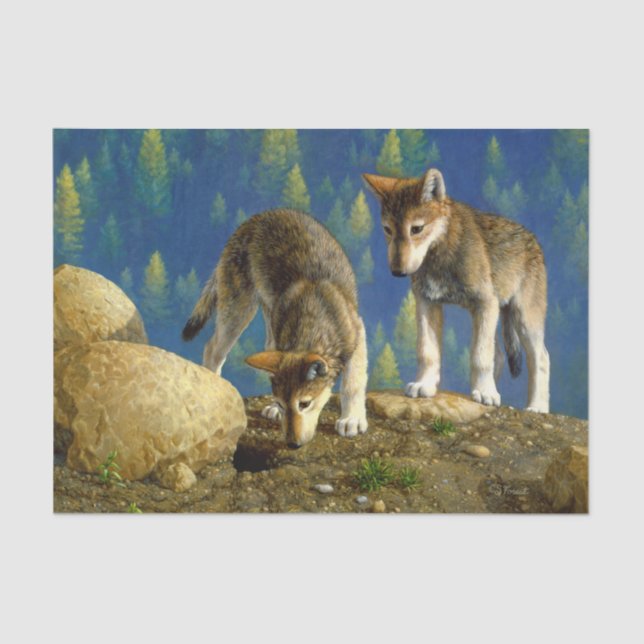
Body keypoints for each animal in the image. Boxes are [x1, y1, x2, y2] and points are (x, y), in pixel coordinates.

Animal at [182, 209, 369, 447]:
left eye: (304, 404)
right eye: (282, 403)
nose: (292, 445)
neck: (313, 323)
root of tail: (255, 219)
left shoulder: (358, 333)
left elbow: (353, 383)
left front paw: (351, 420)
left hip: (266, 316)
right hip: (238, 310)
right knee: (212, 349)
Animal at [363, 168, 549, 413]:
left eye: (416, 229)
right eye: (388, 230)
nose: (397, 271)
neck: (439, 256)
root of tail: (533, 239)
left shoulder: (485, 303)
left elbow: (480, 356)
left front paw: (486, 393)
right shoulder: (427, 303)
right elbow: (428, 352)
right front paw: (425, 385)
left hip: (523, 320)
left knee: (541, 358)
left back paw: (537, 407)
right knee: (499, 355)